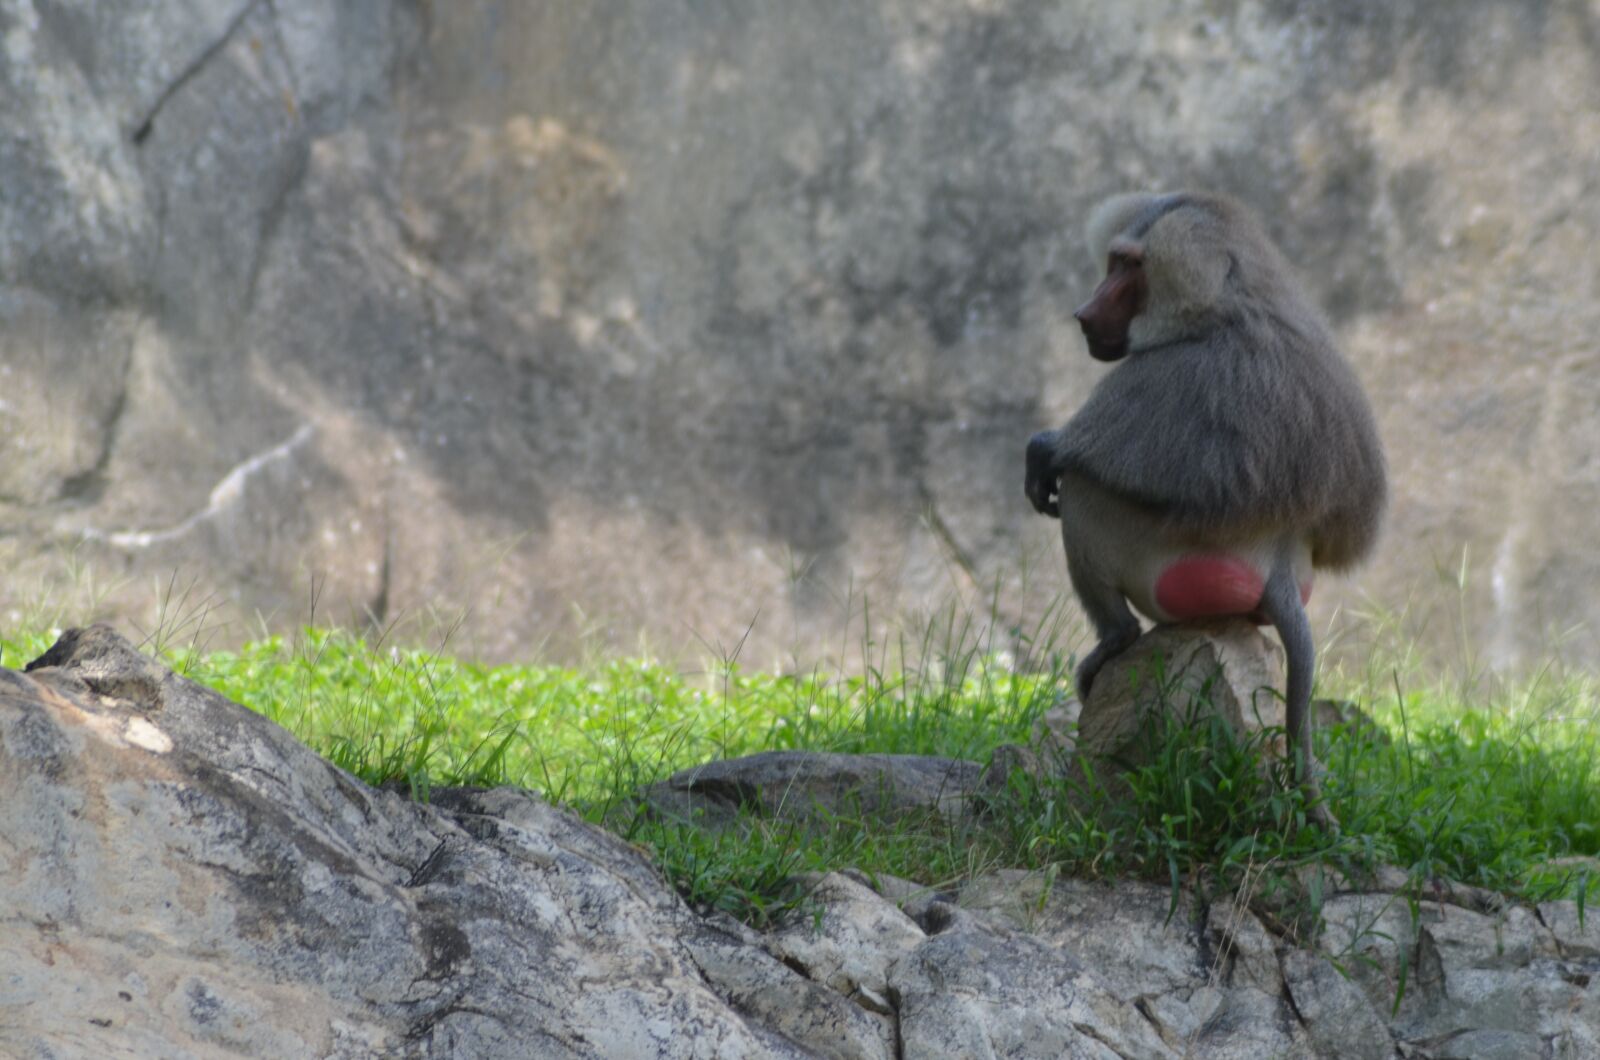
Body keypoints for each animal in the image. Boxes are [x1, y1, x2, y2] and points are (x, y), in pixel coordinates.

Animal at [1024, 191, 1386, 827]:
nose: (1084, 313)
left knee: (1087, 492)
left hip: (1156, 558)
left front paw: (1044, 450)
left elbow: (1079, 458)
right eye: (1115, 261)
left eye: (1130, 268)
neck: (1228, 304)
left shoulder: (1158, 377)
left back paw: (1115, 639)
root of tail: (1280, 564)